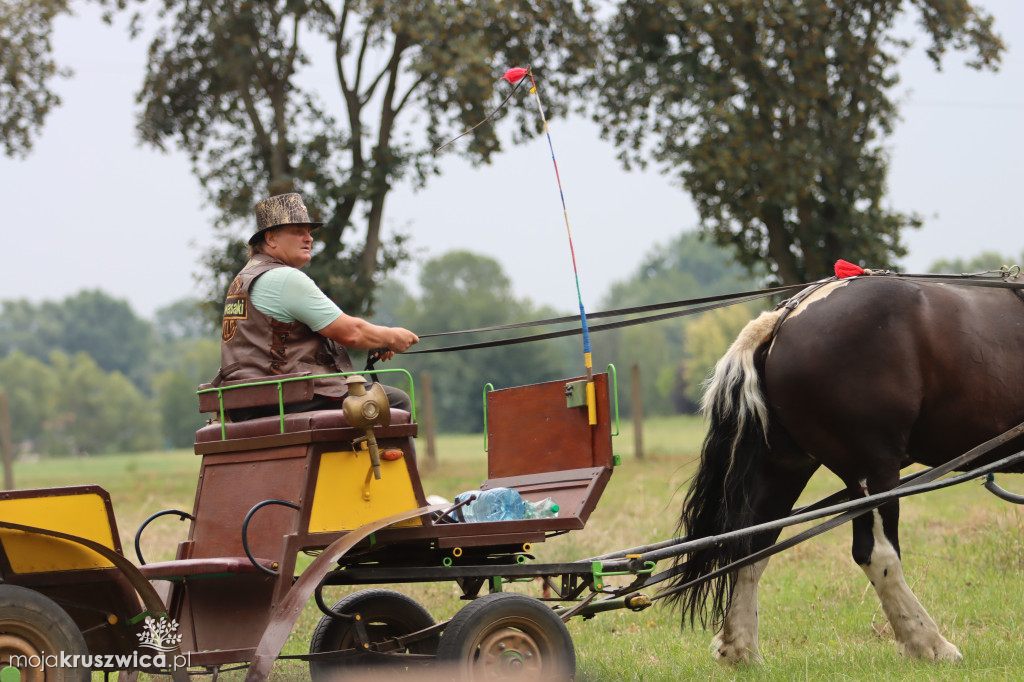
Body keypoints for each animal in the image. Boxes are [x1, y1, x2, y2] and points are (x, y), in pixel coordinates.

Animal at [667, 270, 1019, 659]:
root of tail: (785, 318)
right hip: (871, 471)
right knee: (877, 555)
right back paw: (927, 643)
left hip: (783, 466)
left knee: (750, 546)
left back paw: (740, 649)